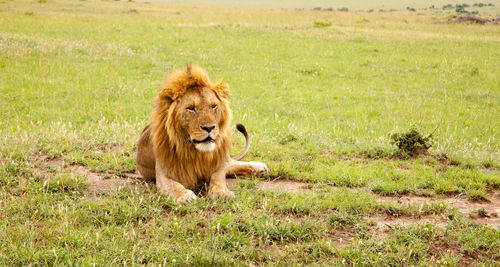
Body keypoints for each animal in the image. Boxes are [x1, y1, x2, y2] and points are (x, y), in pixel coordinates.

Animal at [136, 66, 270, 203]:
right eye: (191, 108)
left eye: (213, 106)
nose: (209, 127)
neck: (198, 154)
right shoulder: (163, 174)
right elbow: (173, 185)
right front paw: (184, 196)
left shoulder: (217, 165)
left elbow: (218, 179)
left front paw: (222, 192)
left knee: (230, 163)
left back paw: (258, 167)